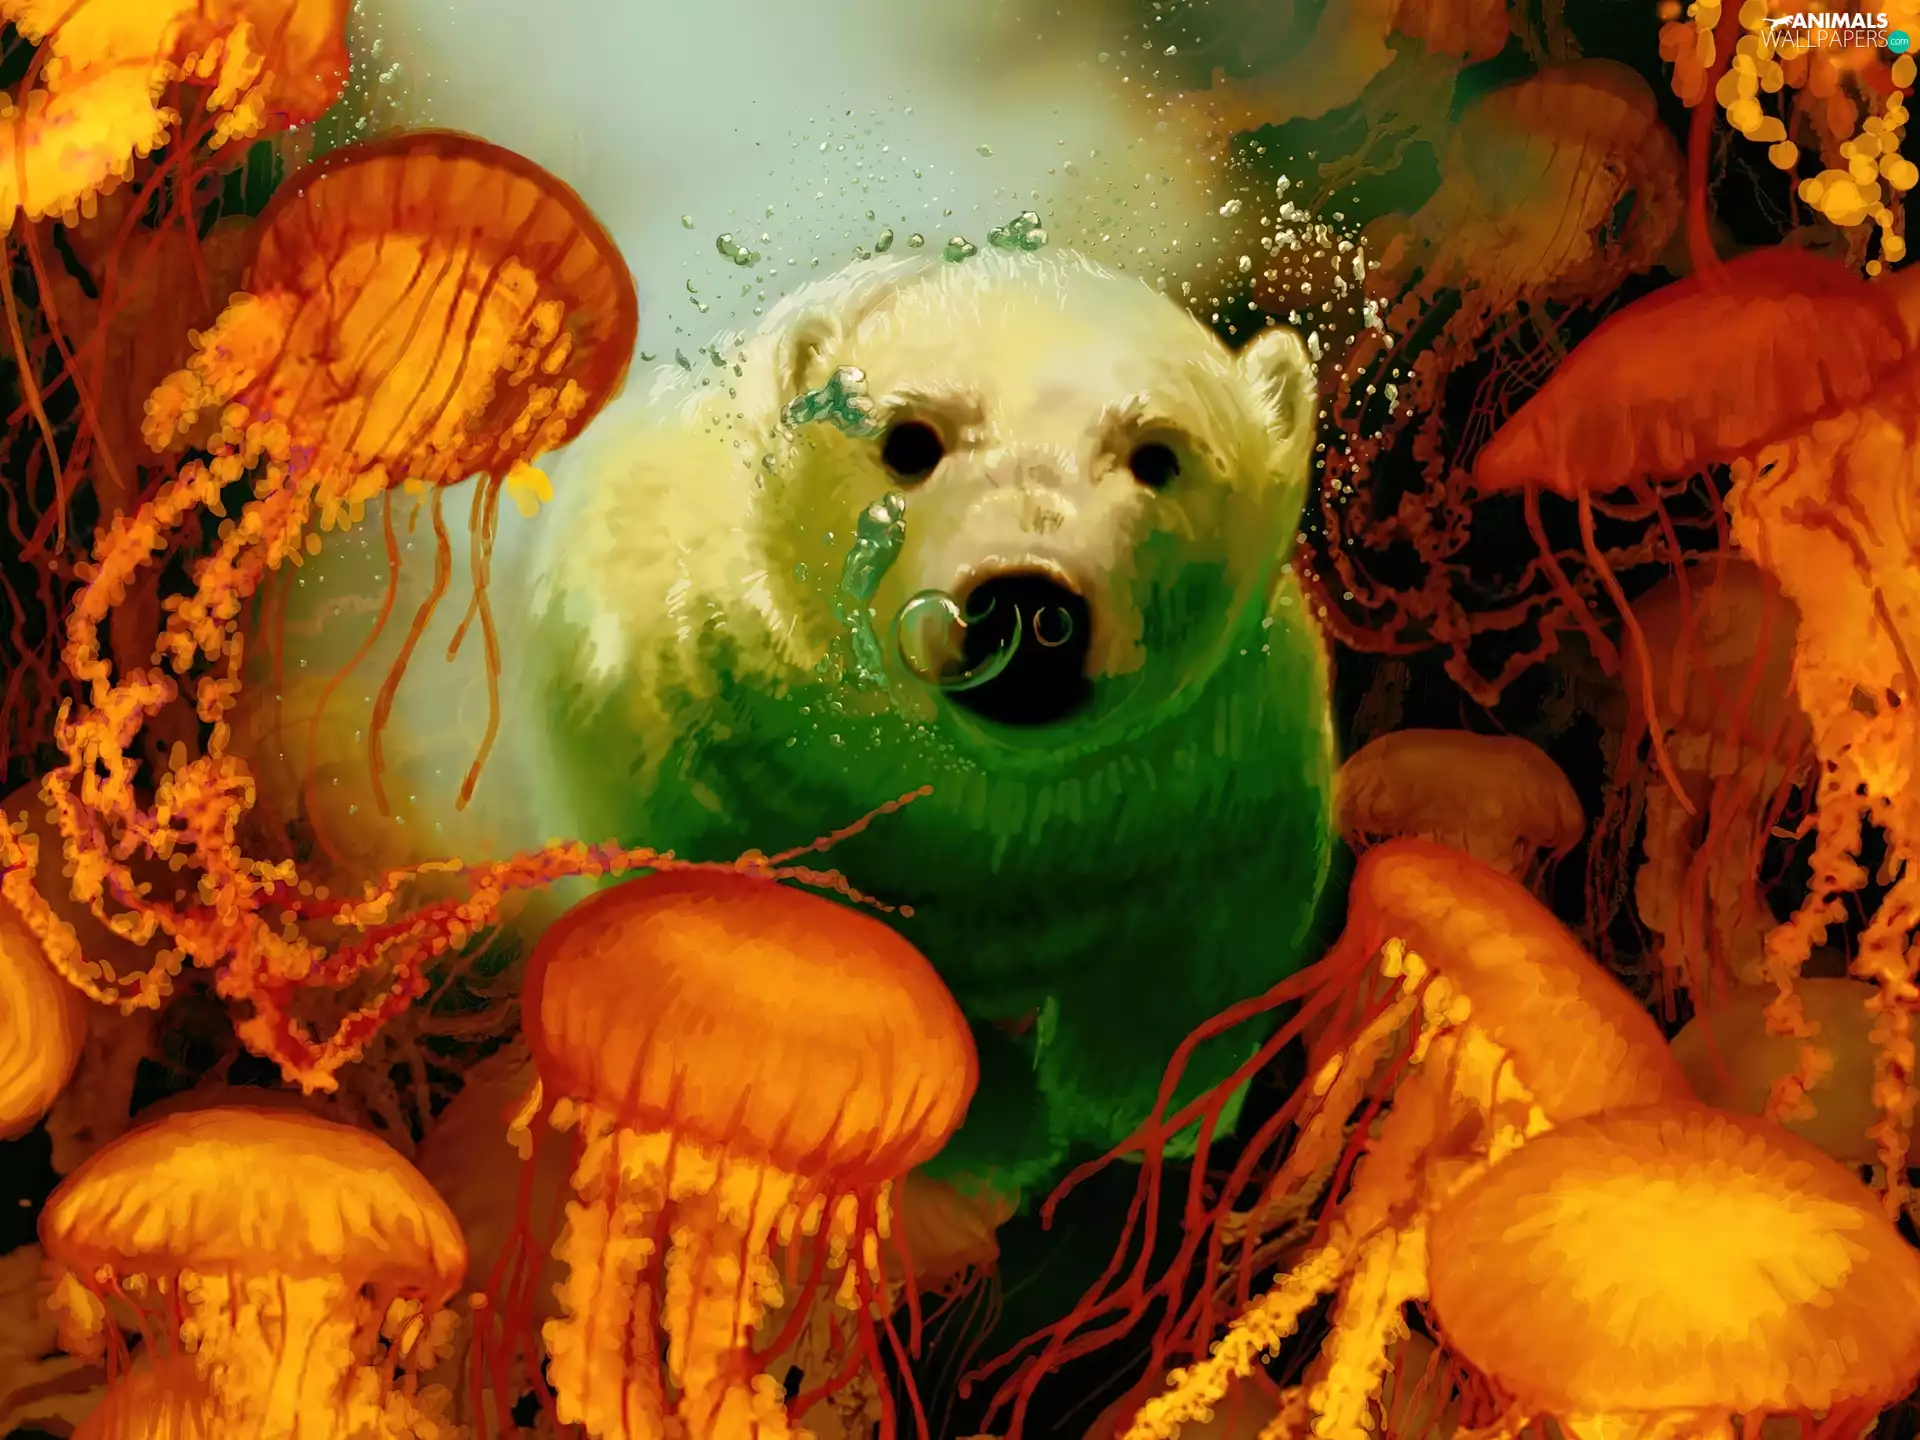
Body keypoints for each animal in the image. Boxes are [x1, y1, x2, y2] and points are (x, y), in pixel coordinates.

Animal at [237, 247, 1336, 1196]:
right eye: (908, 440)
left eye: (1159, 454)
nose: (1024, 601)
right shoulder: (688, 711)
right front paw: (988, 1130)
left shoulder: (1216, 752)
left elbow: (1223, 917)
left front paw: (1134, 1098)